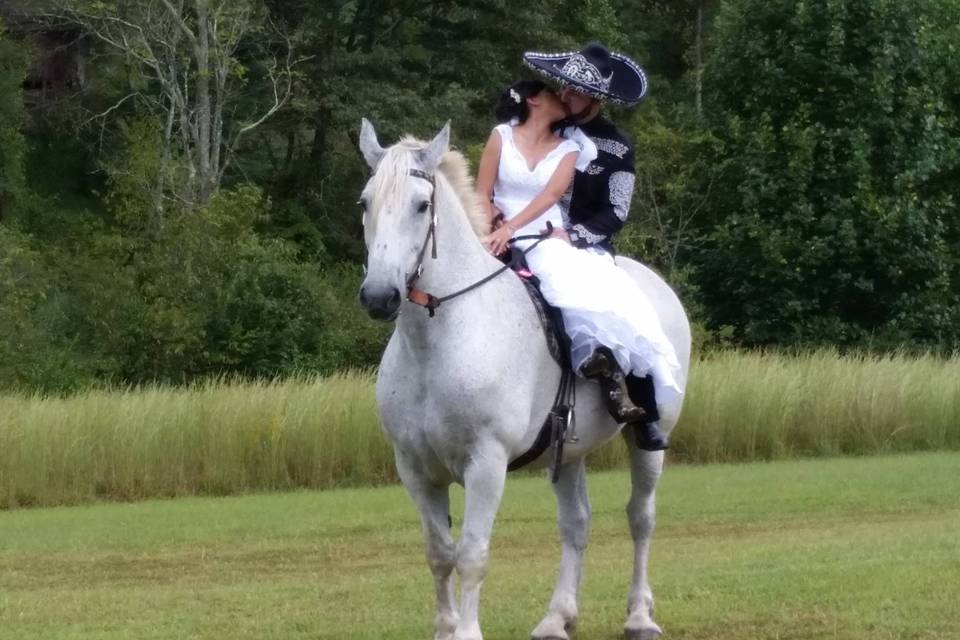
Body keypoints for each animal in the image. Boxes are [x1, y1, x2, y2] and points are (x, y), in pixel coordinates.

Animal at [356, 120, 688, 640]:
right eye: (365, 202)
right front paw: (446, 628)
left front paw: (467, 632)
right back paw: (557, 617)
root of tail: (654, 284)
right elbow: (439, 554)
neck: (438, 339)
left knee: (641, 518)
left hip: (648, 439)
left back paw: (639, 615)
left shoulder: (485, 463)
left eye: (422, 204)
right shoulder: (415, 468)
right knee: (576, 524)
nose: (378, 296)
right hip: (568, 451)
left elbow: (471, 554)